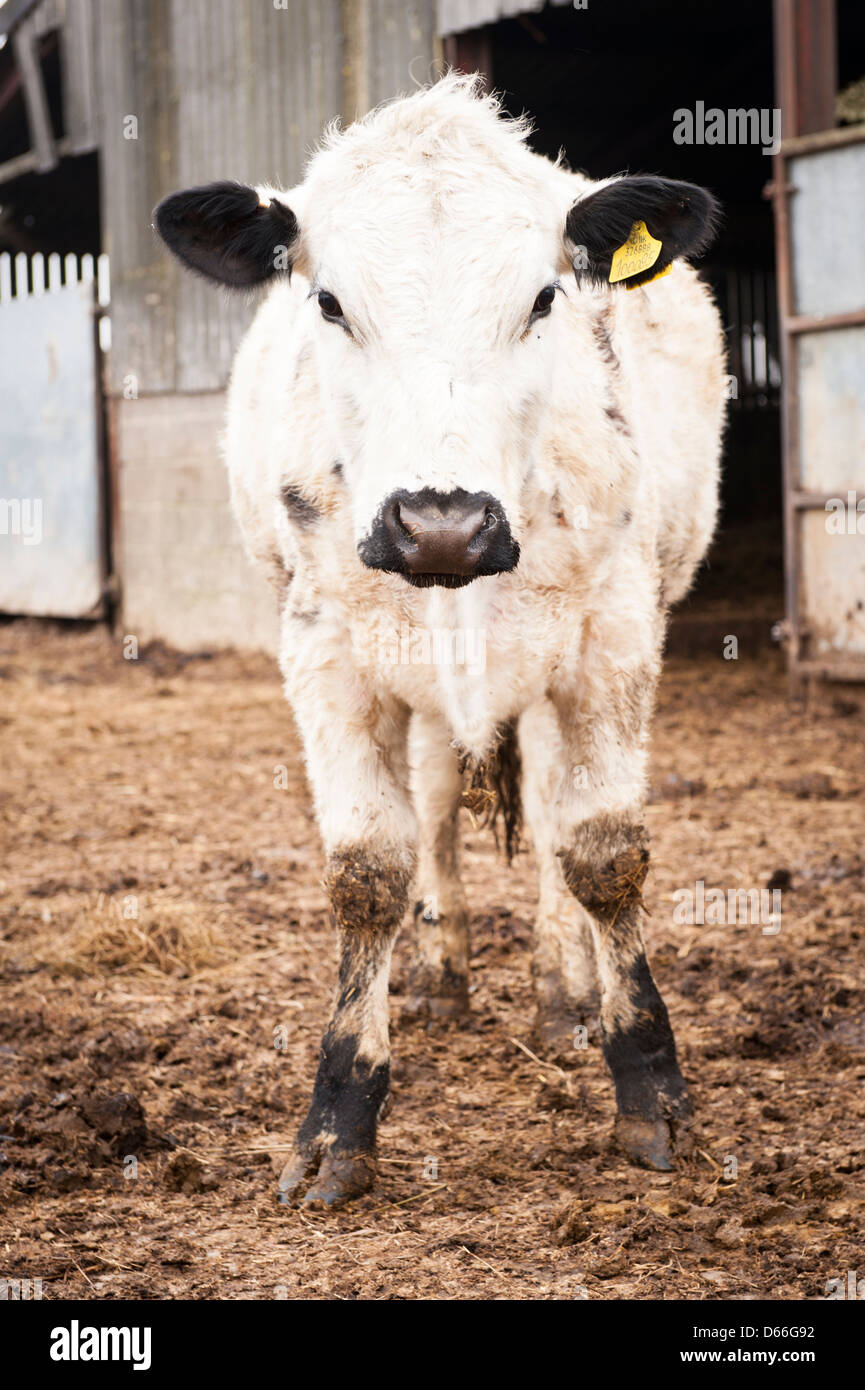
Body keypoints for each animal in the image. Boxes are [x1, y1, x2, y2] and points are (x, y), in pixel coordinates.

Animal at [154, 74, 726, 1208]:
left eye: (545, 299)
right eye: (329, 302)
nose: (442, 523)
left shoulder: (614, 637)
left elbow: (600, 851)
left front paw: (650, 1090)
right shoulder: (325, 652)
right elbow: (369, 867)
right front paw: (338, 1119)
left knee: (546, 816)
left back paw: (560, 995)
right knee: (429, 809)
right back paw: (438, 978)